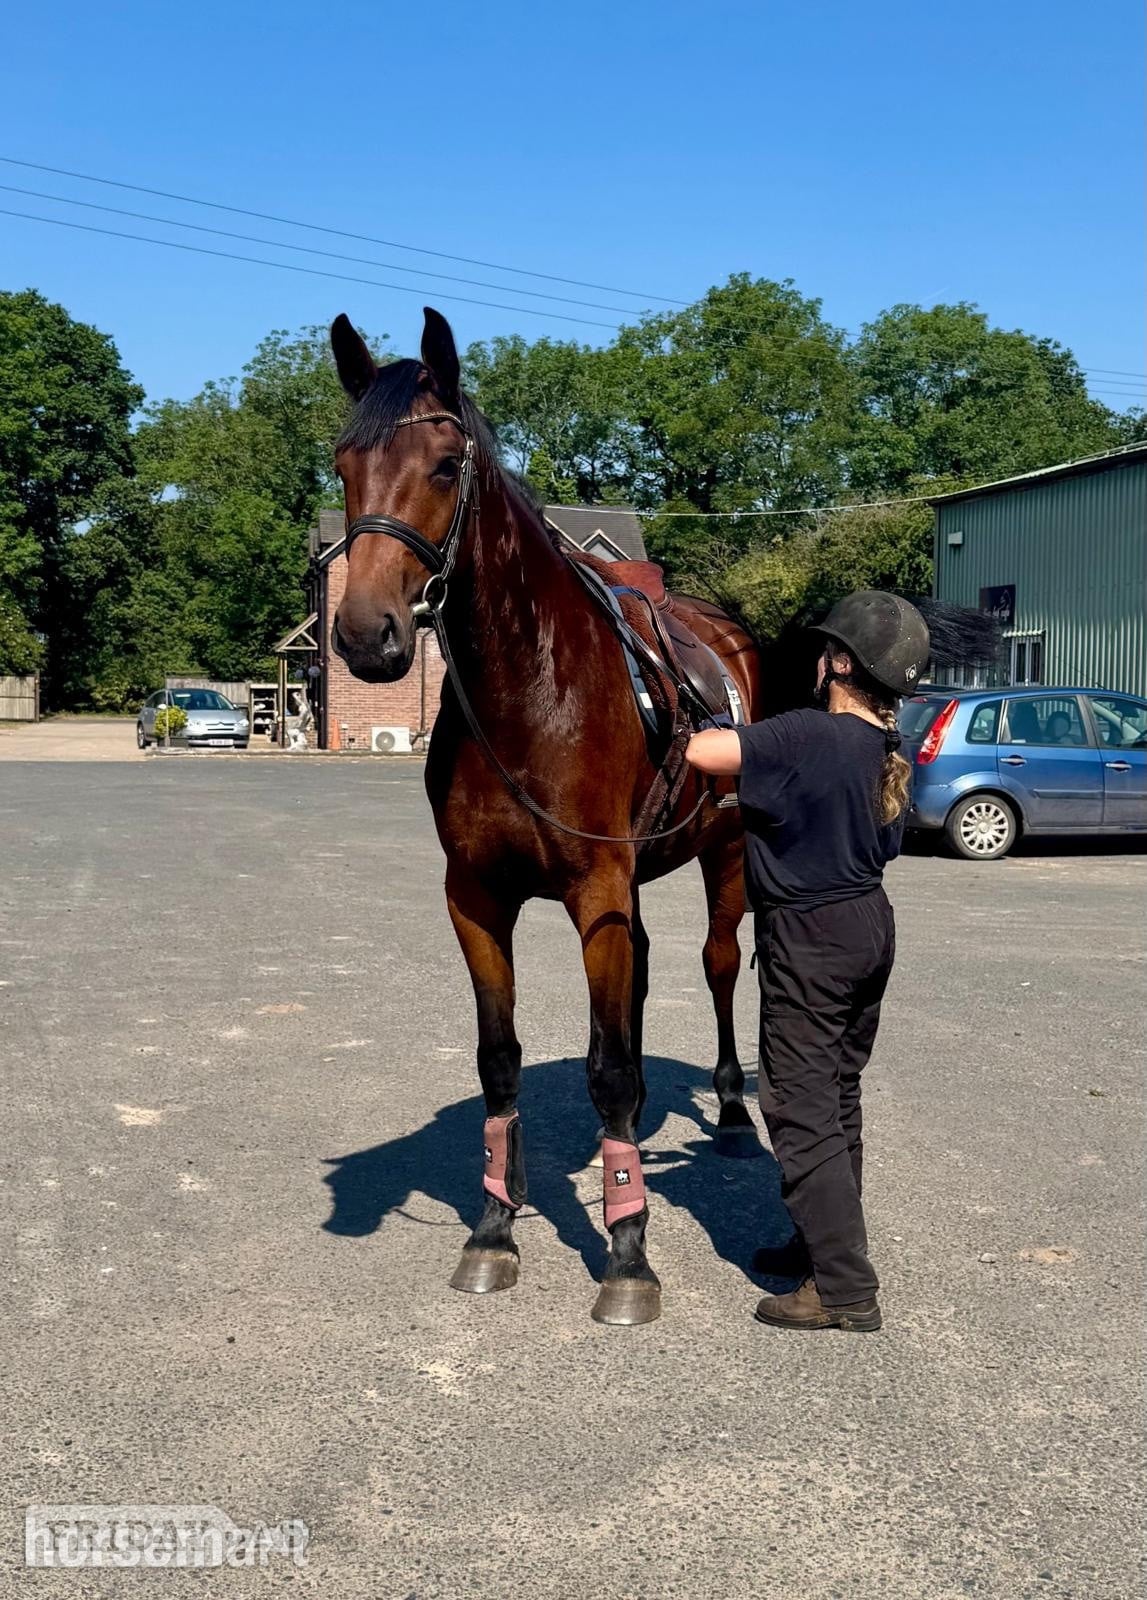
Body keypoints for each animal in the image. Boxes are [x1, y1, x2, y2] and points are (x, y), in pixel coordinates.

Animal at [329, 307, 767, 1326]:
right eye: (341, 463)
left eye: (445, 465)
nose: (366, 635)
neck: (530, 689)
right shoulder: (477, 899)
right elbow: (501, 1059)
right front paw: (493, 1229)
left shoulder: (594, 891)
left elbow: (608, 1068)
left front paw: (627, 1252)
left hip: (722, 857)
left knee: (718, 967)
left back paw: (729, 1110)